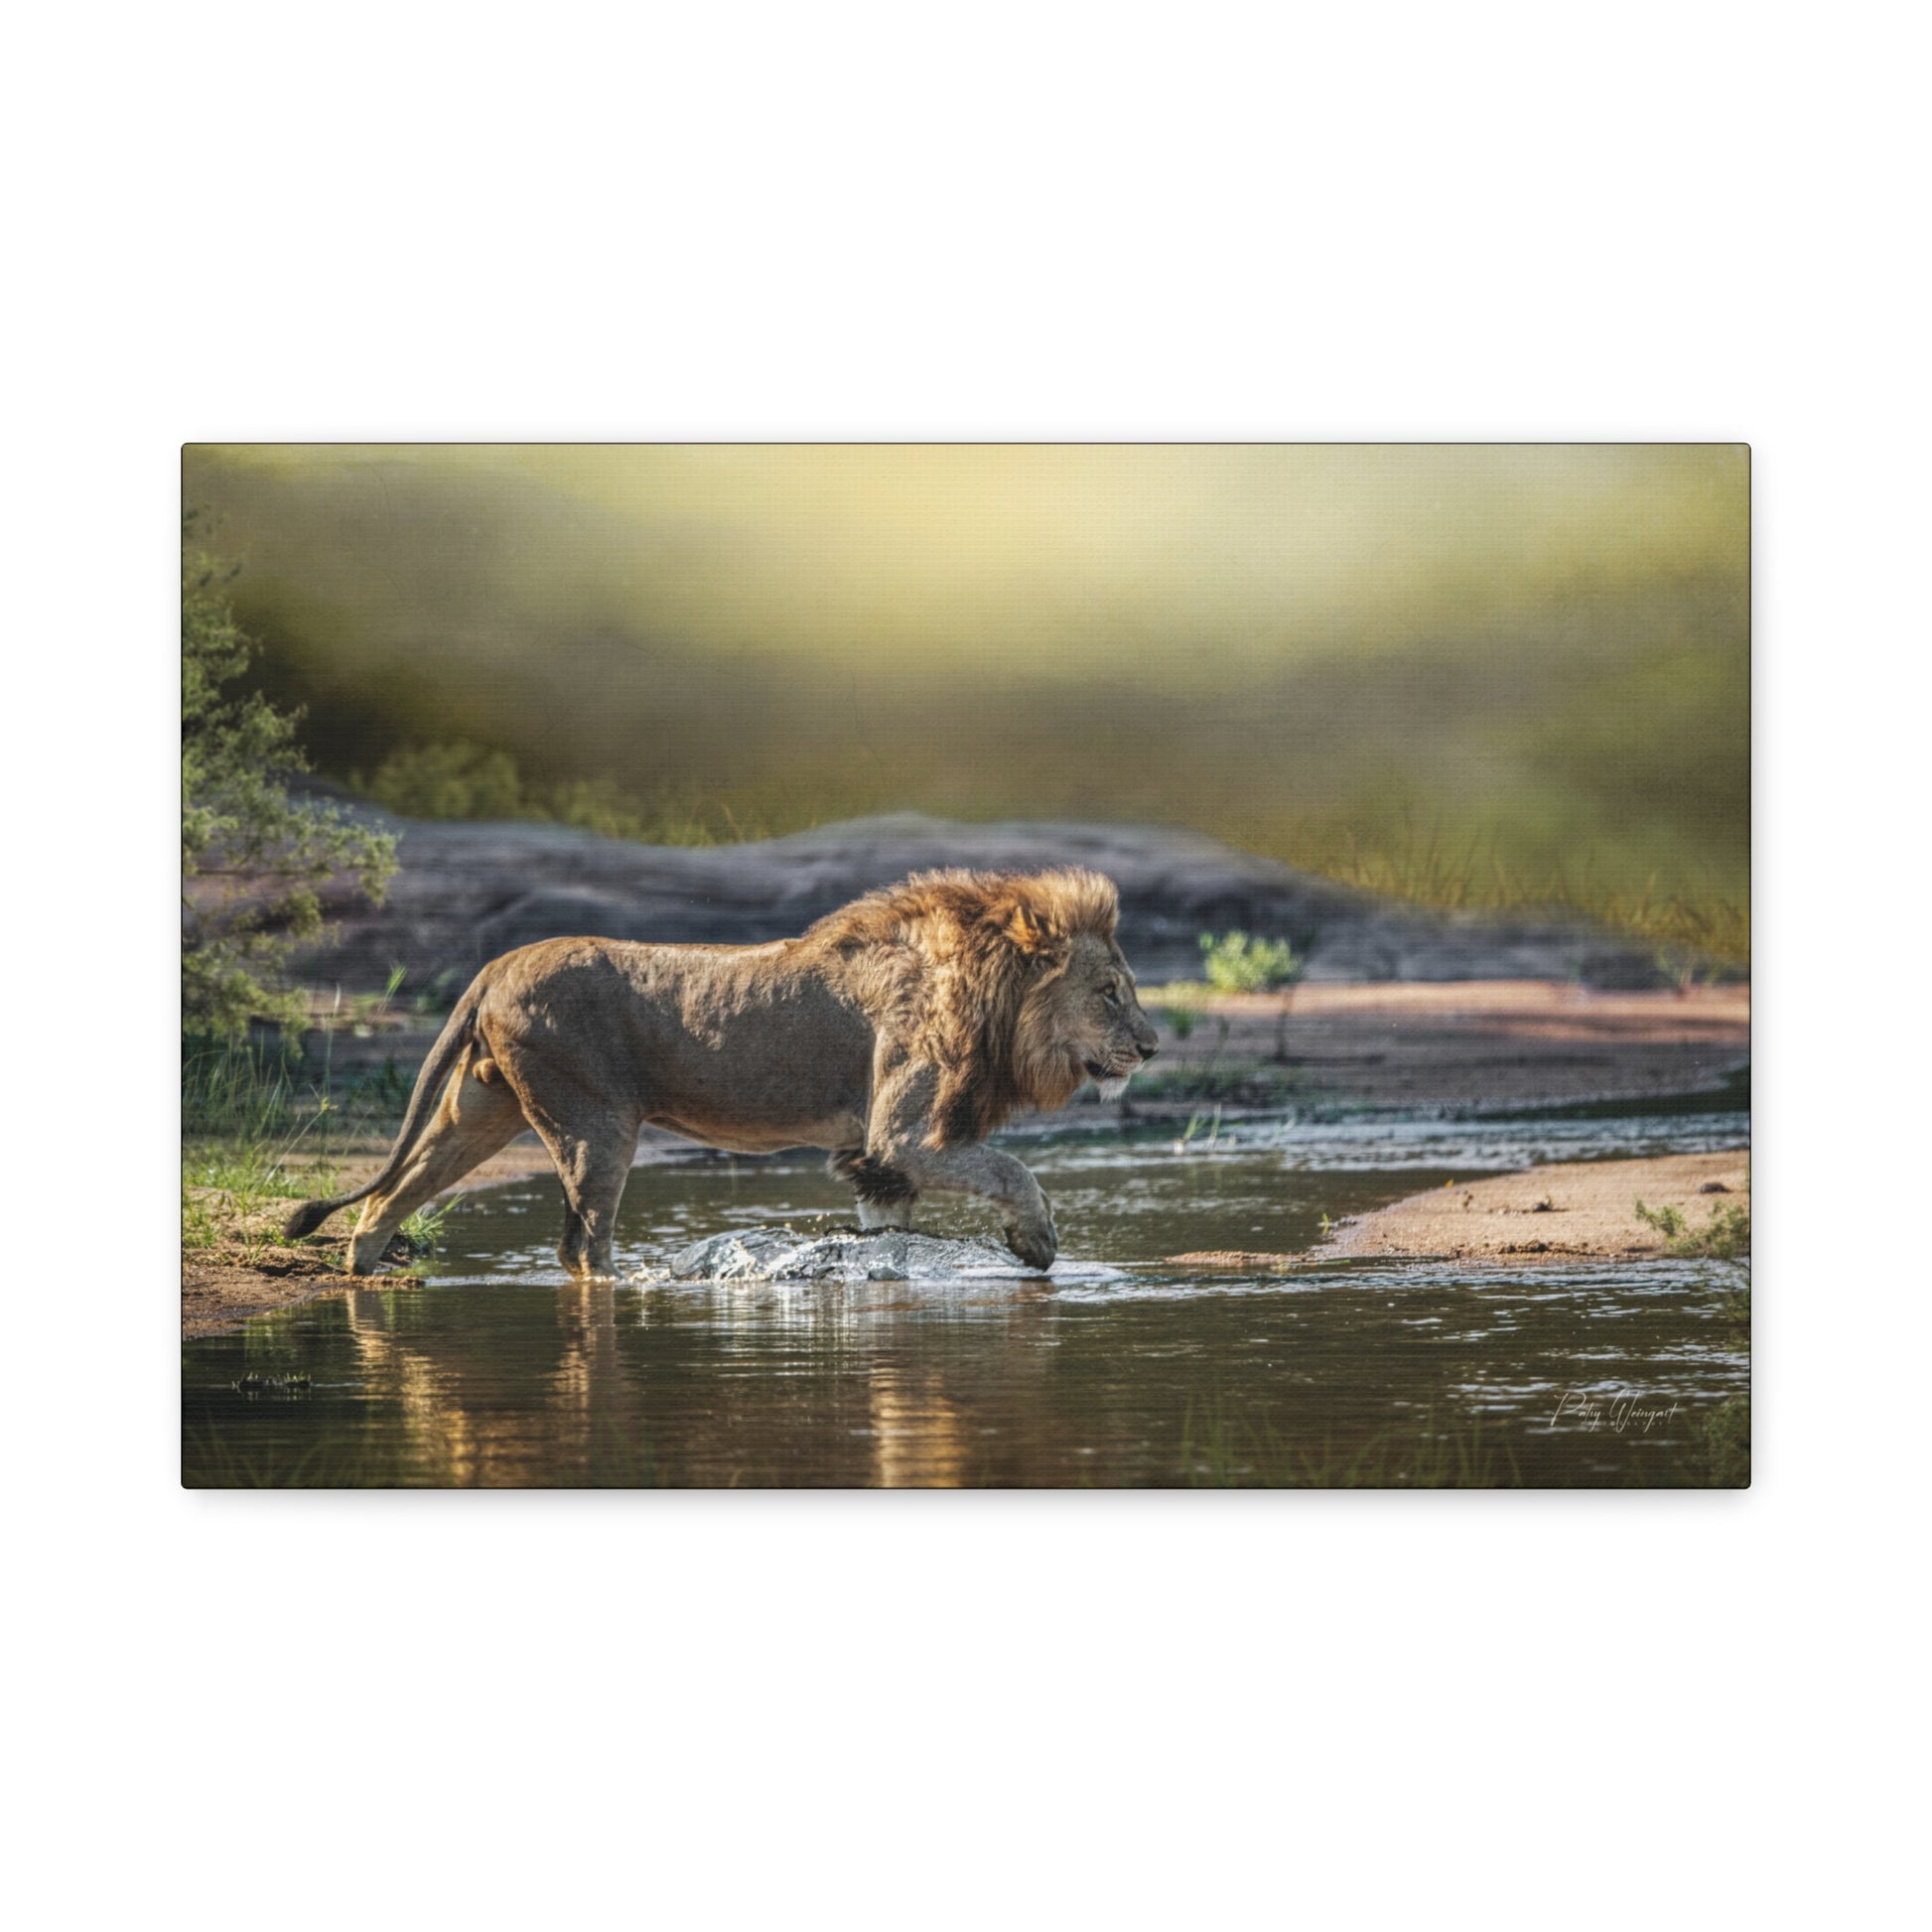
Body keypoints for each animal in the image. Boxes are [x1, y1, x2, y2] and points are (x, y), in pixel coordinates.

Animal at [285, 867, 1159, 1278]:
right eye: (1110, 991)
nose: (1151, 1046)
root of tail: (495, 965)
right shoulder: (902, 1136)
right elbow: (1012, 1168)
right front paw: (1037, 1242)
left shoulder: (879, 1162)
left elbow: (890, 1238)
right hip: (596, 1125)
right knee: (581, 1247)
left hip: (479, 1110)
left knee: (390, 1197)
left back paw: (363, 1277)